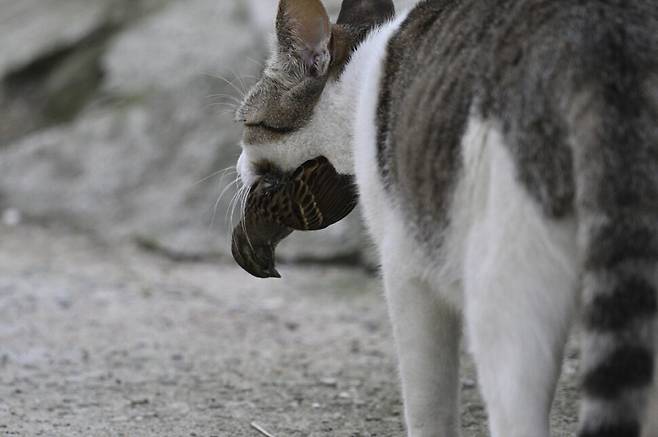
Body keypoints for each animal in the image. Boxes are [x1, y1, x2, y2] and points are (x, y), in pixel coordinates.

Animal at [233, 0, 652, 436]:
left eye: (247, 125)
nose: (238, 165)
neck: (362, 82)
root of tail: (602, 38)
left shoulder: (407, 268)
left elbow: (427, 401)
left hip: (506, 286)